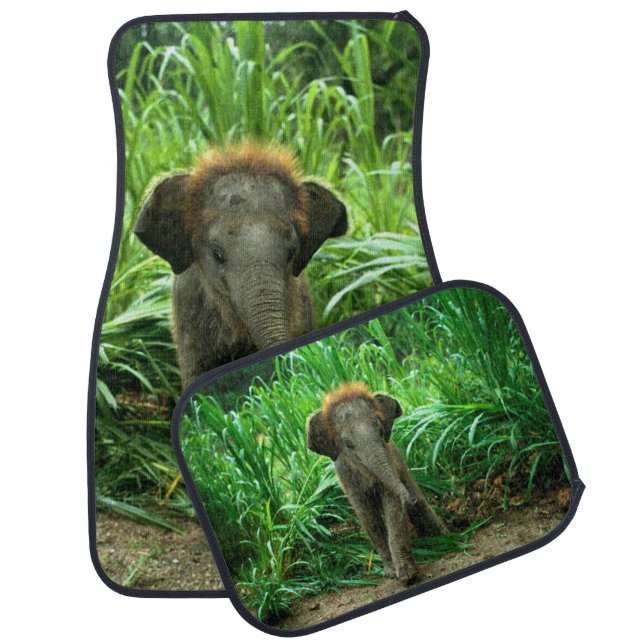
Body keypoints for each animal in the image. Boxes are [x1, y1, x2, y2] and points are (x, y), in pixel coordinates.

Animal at [307, 382, 447, 585]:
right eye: (348, 444)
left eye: (381, 431)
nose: (408, 500)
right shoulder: (346, 478)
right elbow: (367, 516)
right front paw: (390, 572)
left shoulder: (389, 457)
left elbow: (392, 506)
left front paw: (407, 575)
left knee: (419, 500)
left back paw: (445, 536)